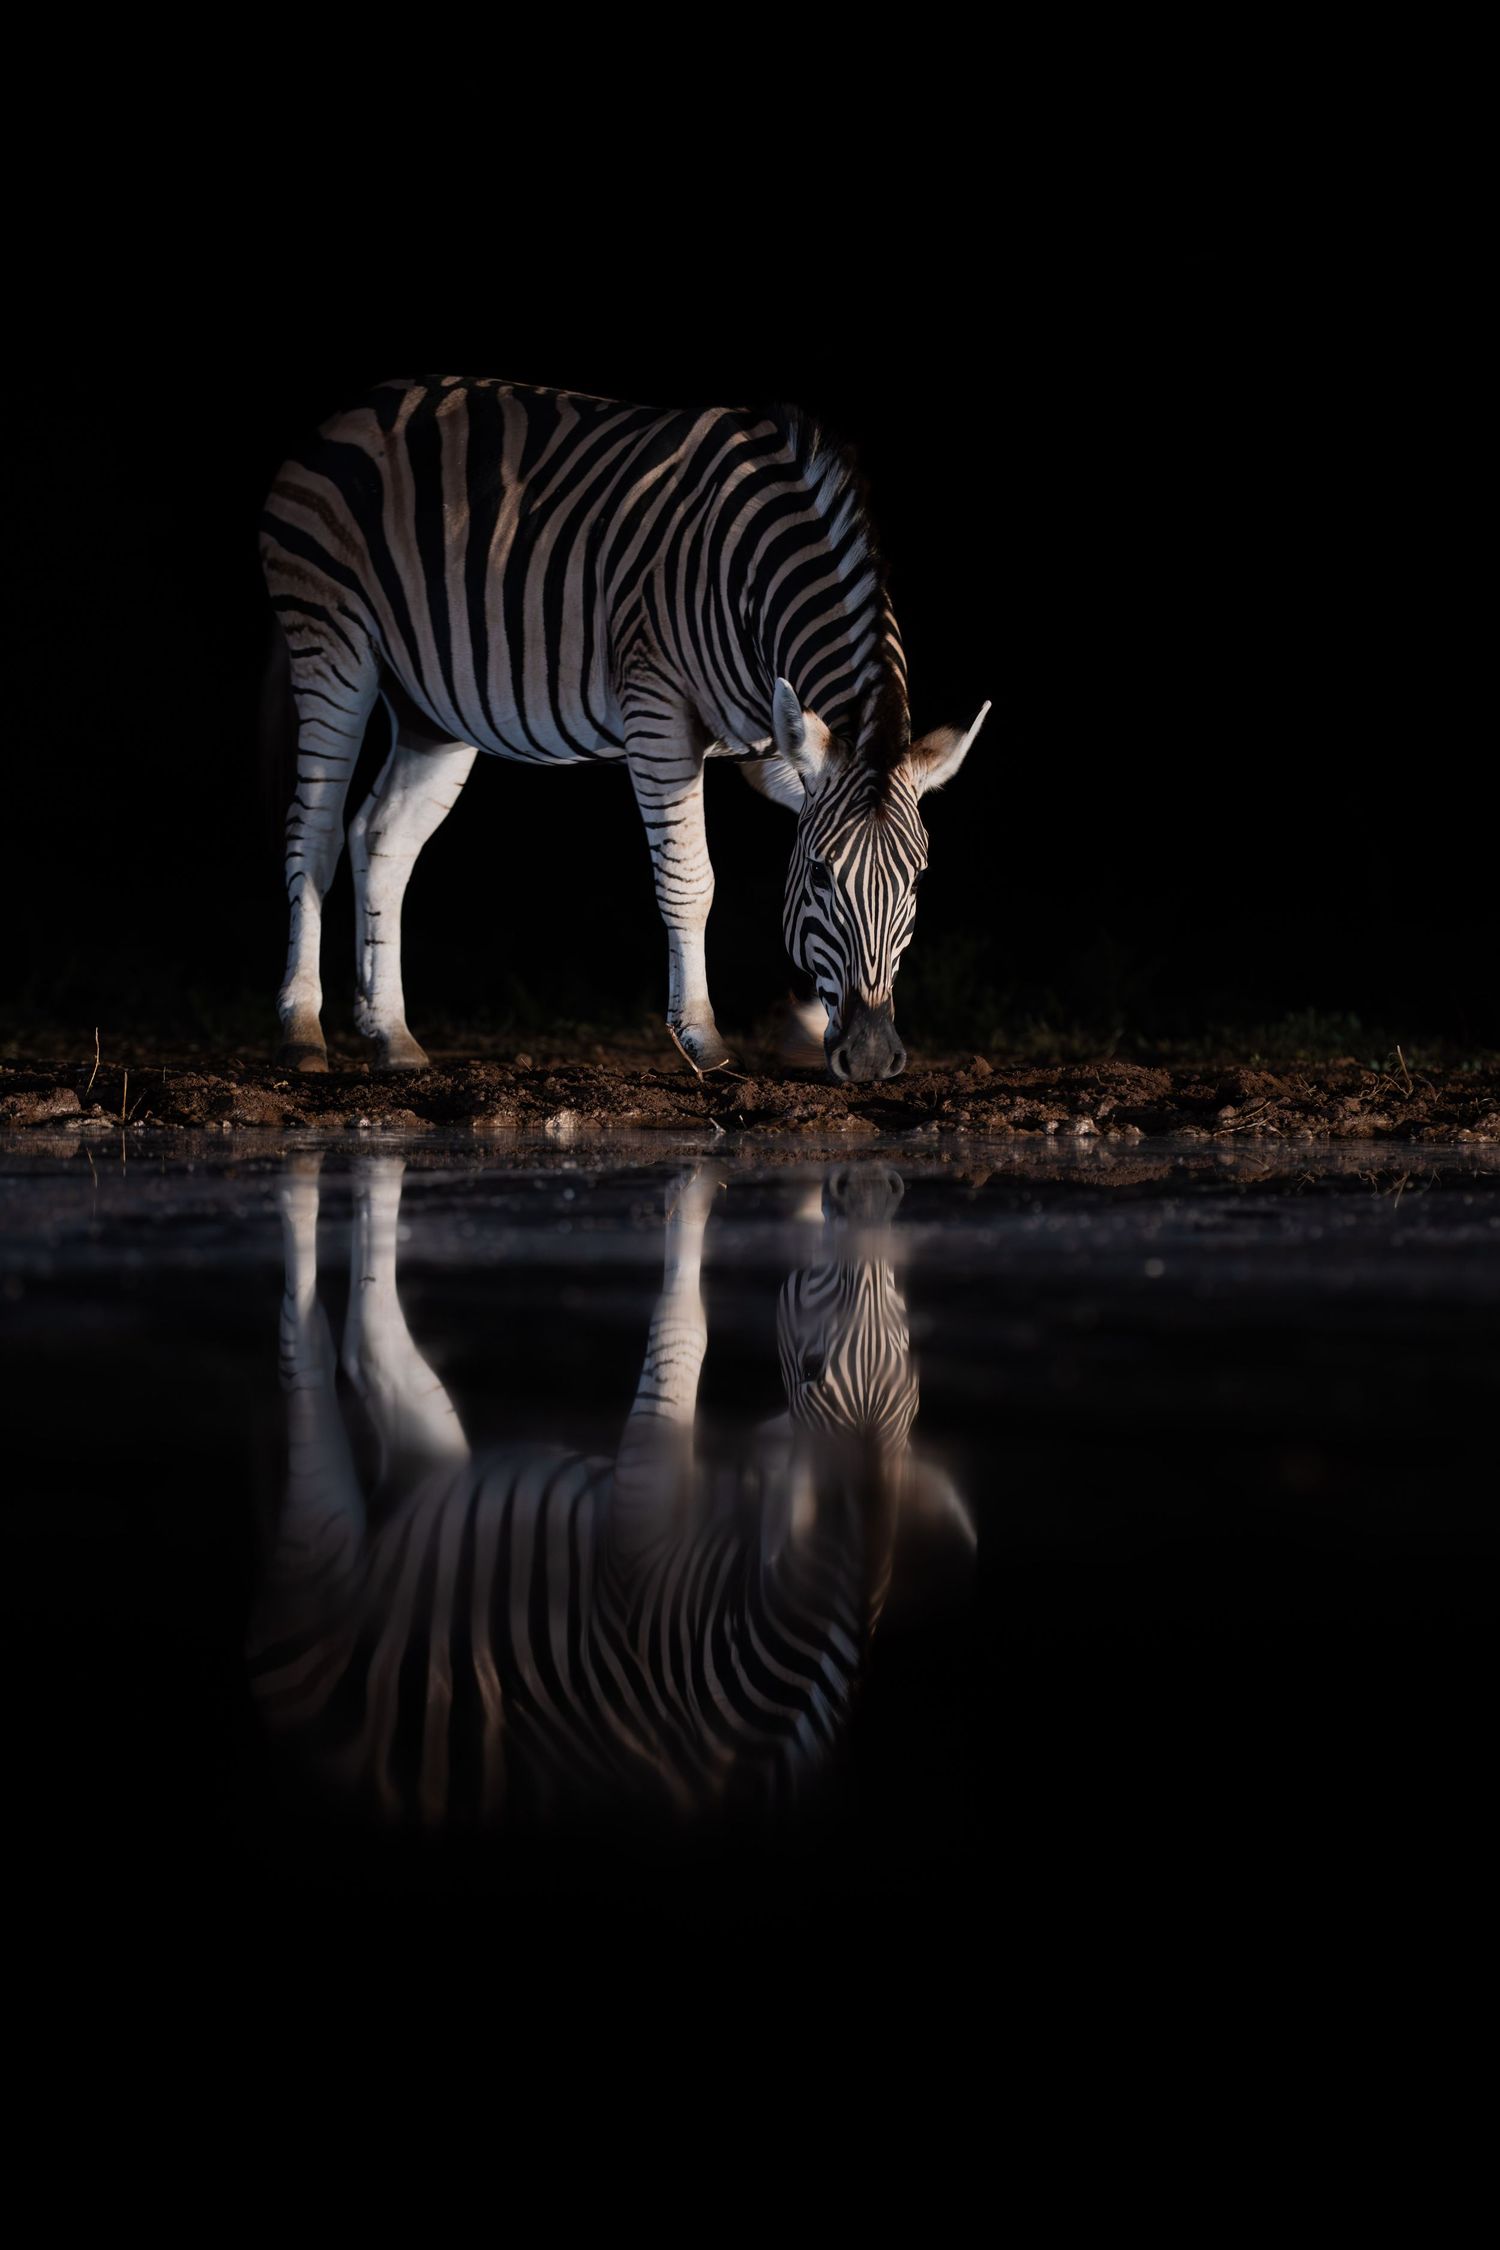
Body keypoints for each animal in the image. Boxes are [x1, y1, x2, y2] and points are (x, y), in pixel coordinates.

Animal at [249, 1156, 973, 1827]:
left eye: (910, 1355)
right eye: (817, 1368)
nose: (873, 1192)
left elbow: (695, 1344)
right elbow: (697, 1326)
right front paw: (745, 1194)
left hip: (392, 1515)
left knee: (344, 1344)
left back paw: (330, 1179)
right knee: (329, 1342)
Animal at [259, 376, 989, 1082]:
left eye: (918, 881)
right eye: (819, 878)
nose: (868, 1059)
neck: (753, 579)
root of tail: (356, 408)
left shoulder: (776, 747)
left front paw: (806, 1020)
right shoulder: (658, 710)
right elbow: (691, 880)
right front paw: (703, 1041)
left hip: (432, 707)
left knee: (383, 838)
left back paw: (392, 1036)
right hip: (332, 644)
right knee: (313, 834)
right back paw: (301, 1031)